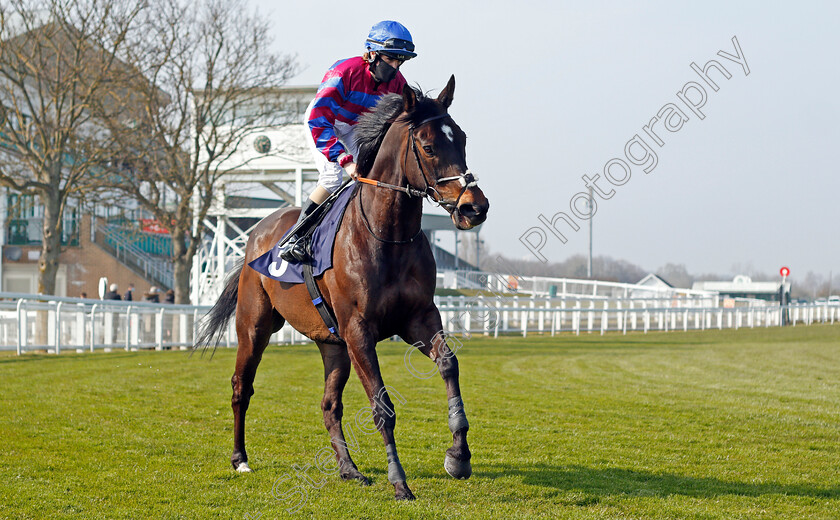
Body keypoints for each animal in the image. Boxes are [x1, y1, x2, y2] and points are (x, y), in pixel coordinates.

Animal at [194, 76, 488, 500]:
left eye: (462, 139)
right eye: (429, 146)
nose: (474, 207)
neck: (386, 235)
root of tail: (256, 232)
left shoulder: (418, 318)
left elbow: (449, 364)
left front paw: (458, 456)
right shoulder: (359, 330)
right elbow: (382, 406)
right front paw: (399, 482)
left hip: (333, 344)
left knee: (329, 405)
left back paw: (349, 469)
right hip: (254, 326)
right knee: (241, 387)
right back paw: (240, 459)